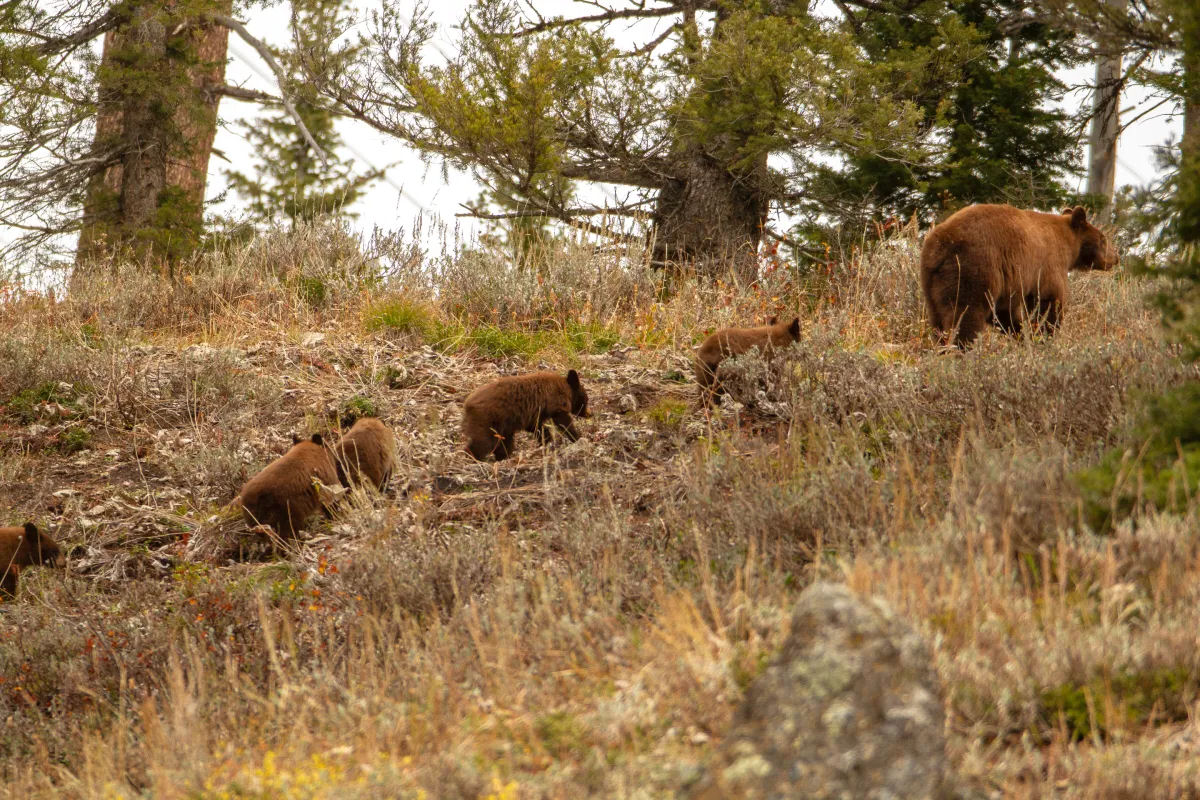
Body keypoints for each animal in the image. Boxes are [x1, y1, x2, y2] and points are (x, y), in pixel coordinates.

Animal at [460, 371, 588, 462]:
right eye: (586, 400)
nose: (589, 413)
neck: (564, 387)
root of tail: (467, 404)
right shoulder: (555, 403)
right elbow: (563, 422)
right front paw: (577, 437)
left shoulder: (532, 415)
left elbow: (538, 428)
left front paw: (546, 442)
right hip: (487, 420)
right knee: (483, 442)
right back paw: (474, 458)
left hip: (502, 427)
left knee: (503, 443)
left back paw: (503, 457)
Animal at [916, 203, 1113, 347]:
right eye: (1103, 238)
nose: (1115, 257)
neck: (1069, 245)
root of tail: (939, 246)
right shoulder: (1048, 264)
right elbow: (1049, 301)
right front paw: (1044, 335)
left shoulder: (1009, 283)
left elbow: (1005, 311)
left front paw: (1022, 335)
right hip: (973, 268)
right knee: (966, 313)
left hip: (931, 281)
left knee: (937, 319)